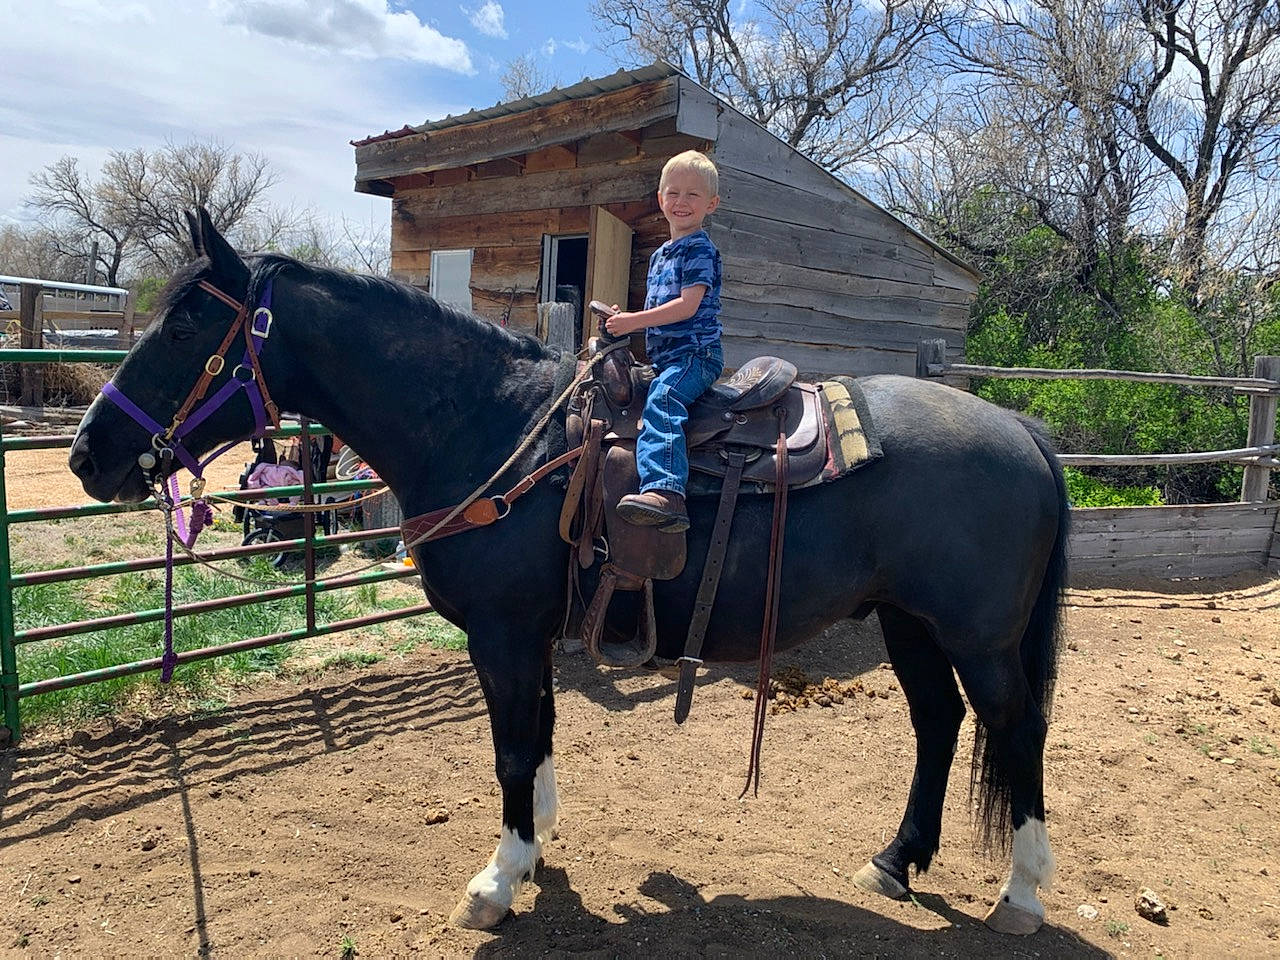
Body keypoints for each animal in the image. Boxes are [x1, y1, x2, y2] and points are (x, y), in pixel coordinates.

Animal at [70, 209, 1068, 935]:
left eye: (187, 324)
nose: (88, 454)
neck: (493, 428)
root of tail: (1024, 431)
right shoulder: (532, 635)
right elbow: (539, 737)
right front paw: (538, 847)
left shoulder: (505, 634)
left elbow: (513, 747)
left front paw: (498, 879)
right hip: (910, 622)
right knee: (939, 725)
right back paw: (896, 861)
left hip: (979, 638)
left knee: (1016, 731)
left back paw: (1020, 896)